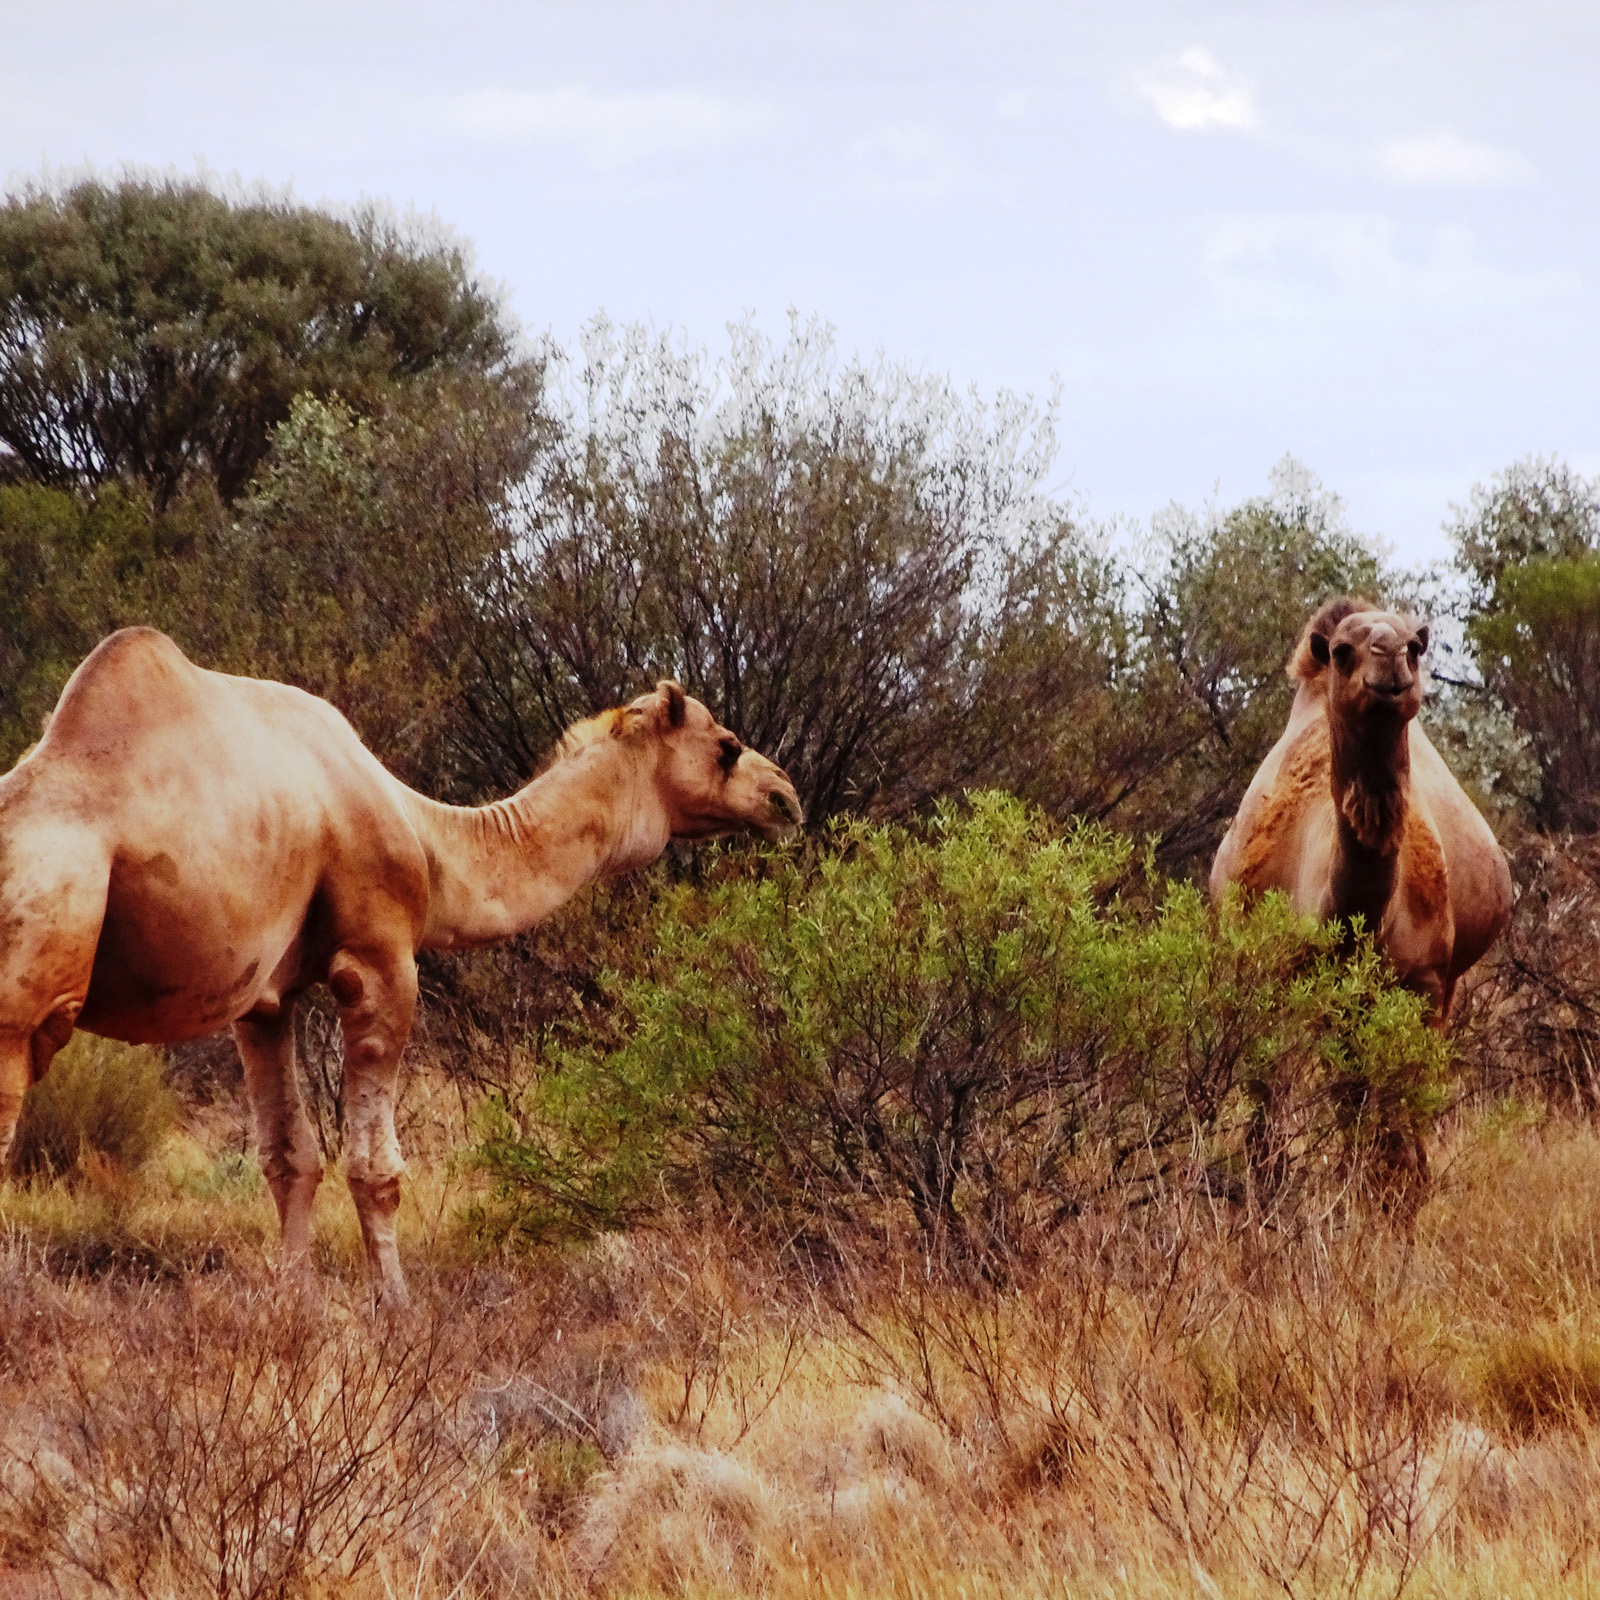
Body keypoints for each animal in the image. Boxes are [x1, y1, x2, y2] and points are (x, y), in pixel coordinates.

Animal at [0, 624, 800, 1299]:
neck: (426, 837)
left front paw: (294, 1307)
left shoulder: (264, 999)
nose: (785, 796)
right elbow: (375, 1169)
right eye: (727, 744)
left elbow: (290, 1158)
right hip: (23, 987)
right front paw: (397, 1309)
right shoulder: (379, 961)